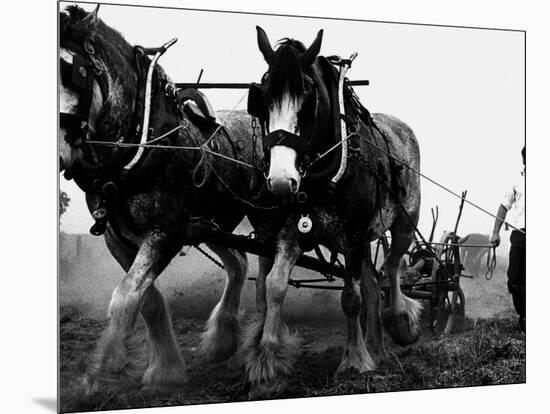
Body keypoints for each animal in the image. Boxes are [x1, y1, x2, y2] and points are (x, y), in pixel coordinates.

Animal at [59, 5, 264, 394]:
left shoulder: (164, 233)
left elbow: (125, 297)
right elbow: (147, 300)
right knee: (239, 263)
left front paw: (100, 375)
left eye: (73, 71)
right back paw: (221, 341)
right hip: (209, 223)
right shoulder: (118, 238)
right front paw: (165, 370)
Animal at [239, 27, 424, 396]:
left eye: (307, 98)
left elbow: (351, 298)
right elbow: (275, 286)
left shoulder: (351, 236)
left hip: (405, 222)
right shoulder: (291, 233)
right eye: (263, 97)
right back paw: (378, 348)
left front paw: (354, 360)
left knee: (392, 268)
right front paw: (266, 366)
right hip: (365, 239)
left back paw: (399, 321)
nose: (280, 181)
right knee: (374, 283)